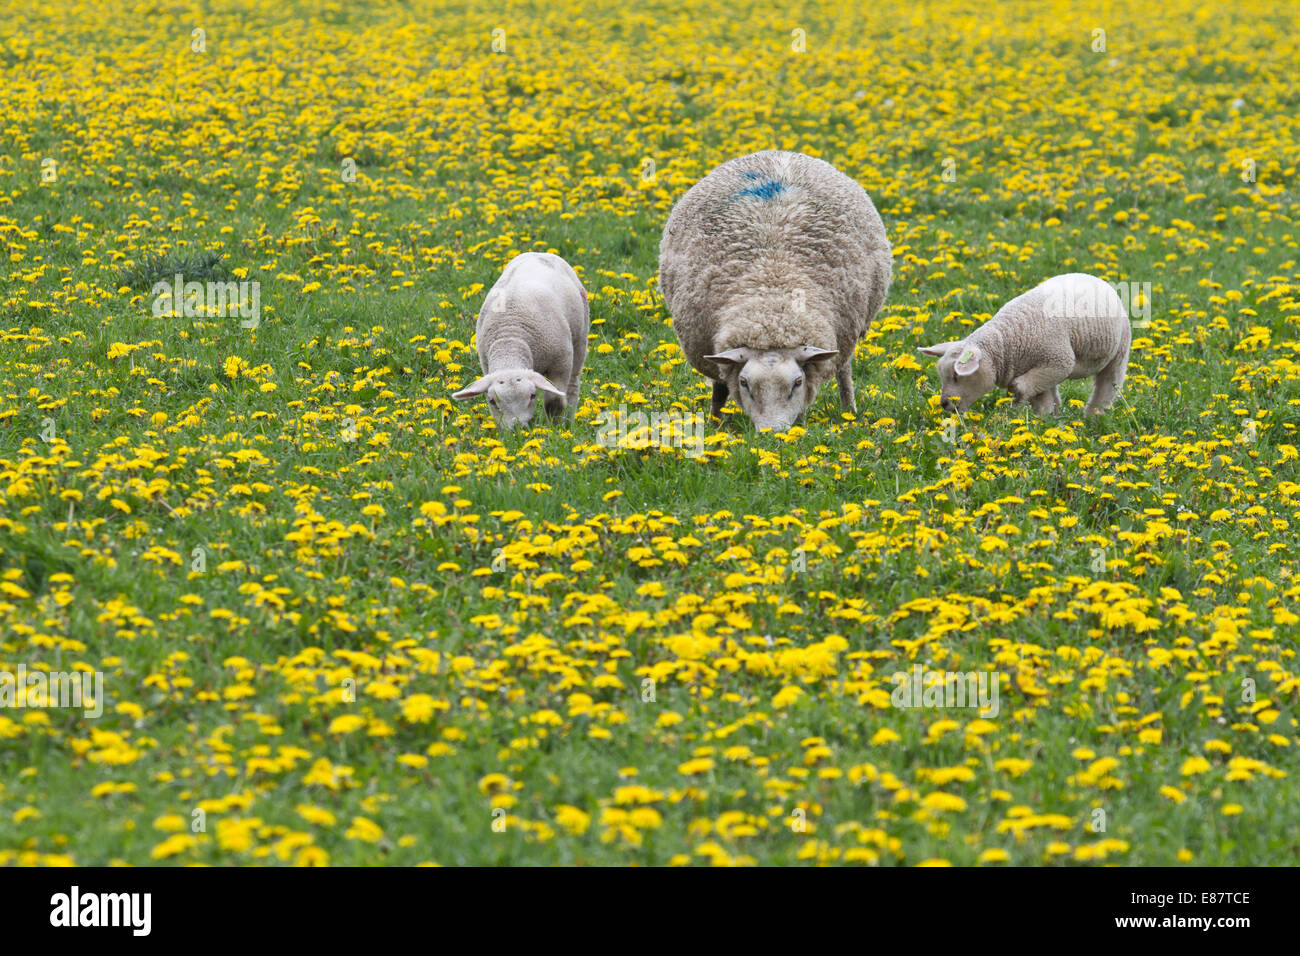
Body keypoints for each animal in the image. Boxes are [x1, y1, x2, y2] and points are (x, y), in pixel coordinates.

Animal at [449, 251, 587, 429]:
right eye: (492, 401)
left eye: (533, 395)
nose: (517, 429)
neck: (510, 342)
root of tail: (539, 253)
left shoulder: (560, 362)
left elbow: (555, 402)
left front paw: (555, 429)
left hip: (580, 337)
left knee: (573, 385)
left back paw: (569, 422)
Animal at [660, 148, 894, 429]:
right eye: (744, 383)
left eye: (797, 382)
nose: (773, 433)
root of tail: (779, 153)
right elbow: (719, 389)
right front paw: (715, 425)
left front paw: (800, 428)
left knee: (843, 370)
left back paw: (849, 409)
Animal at [920, 270, 1133, 416]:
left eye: (956, 376)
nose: (944, 404)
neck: (1008, 340)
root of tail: (1094, 277)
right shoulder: (1042, 367)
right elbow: (1042, 398)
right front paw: (1045, 422)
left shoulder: (1059, 360)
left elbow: (1024, 387)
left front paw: (1019, 400)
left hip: (1119, 351)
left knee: (1108, 385)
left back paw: (1093, 416)